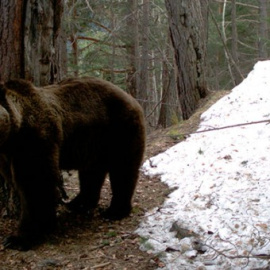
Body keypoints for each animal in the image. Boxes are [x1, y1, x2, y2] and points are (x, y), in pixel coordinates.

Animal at [0, 77, 146, 251]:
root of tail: (132, 99)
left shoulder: (35, 141)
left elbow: (35, 185)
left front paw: (19, 238)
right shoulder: (8, 155)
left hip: (120, 130)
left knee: (122, 170)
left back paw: (115, 210)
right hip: (94, 142)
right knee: (91, 174)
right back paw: (79, 203)